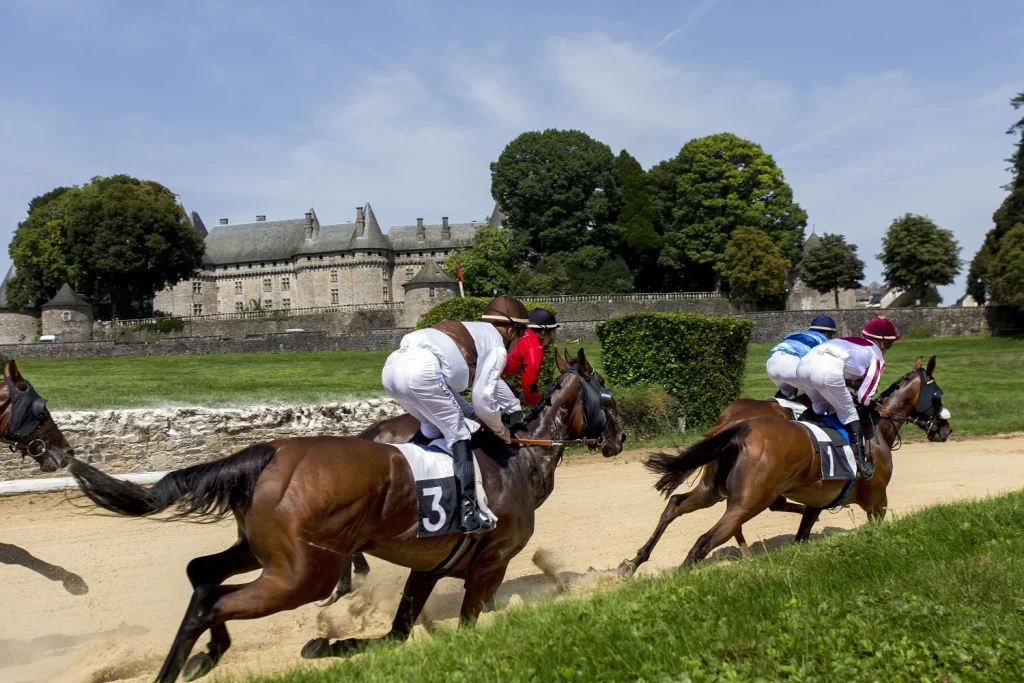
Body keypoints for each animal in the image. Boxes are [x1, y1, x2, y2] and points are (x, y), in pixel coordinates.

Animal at [68, 350, 622, 679]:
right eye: (608, 397)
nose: (618, 440)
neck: (517, 460)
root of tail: (269, 452)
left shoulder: (429, 567)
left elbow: (397, 634)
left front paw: (329, 646)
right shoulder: (492, 564)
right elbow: (465, 624)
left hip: (263, 552)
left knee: (202, 576)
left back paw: (200, 656)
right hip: (302, 573)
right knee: (216, 602)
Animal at [618, 356, 954, 581]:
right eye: (938, 396)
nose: (946, 429)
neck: (876, 429)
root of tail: (740, 428)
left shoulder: (817, 500)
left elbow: (803, 529)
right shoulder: (877, 501)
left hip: (712, 490)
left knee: (675, 505)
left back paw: (633, 563)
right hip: (747, 503)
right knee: (705, 540)